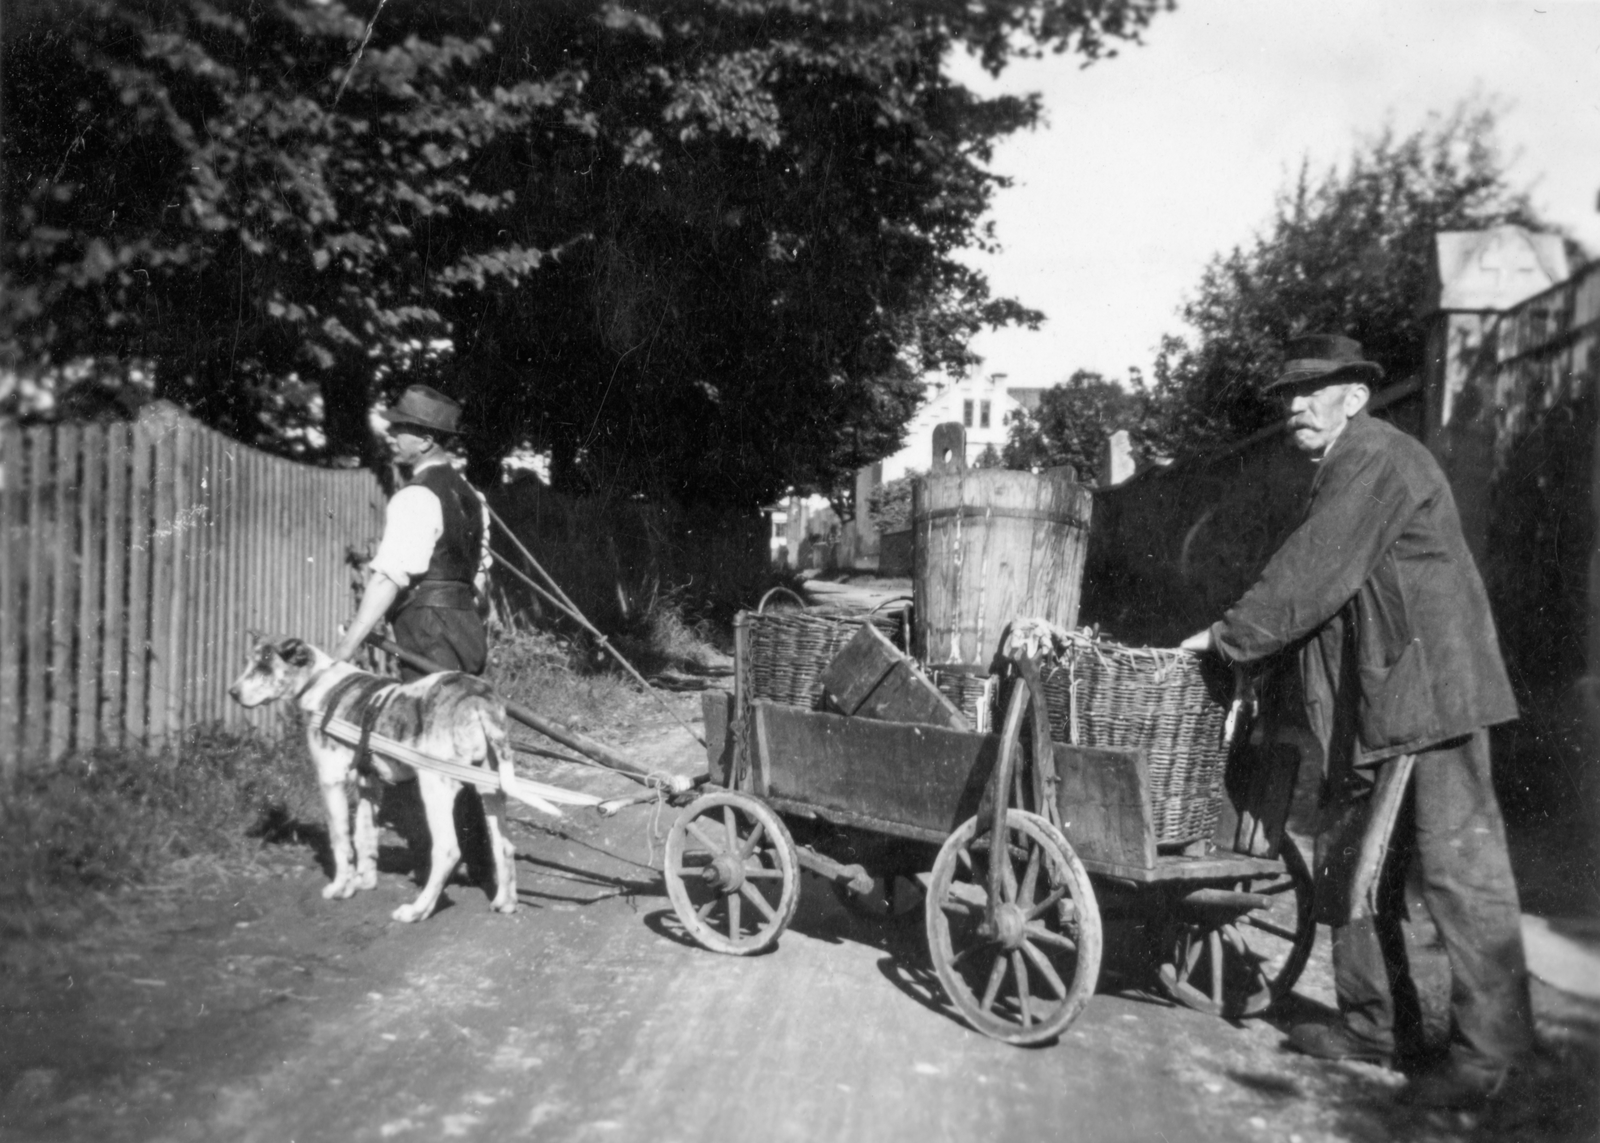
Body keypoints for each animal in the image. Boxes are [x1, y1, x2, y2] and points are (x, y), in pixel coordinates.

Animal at [232, 637, 515, 922]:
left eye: (263, 665)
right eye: (248, 661)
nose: (232, 693)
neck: (320, 681)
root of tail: (477, 698)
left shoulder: (330, 780)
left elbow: (340, 840)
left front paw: (340, 888)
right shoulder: (369, 784)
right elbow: (364, 836)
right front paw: (363, 882)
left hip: (434, 786)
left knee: (447, 850)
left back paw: (417, 910)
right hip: (489, 789)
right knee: (504, 844)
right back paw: (505, 901)